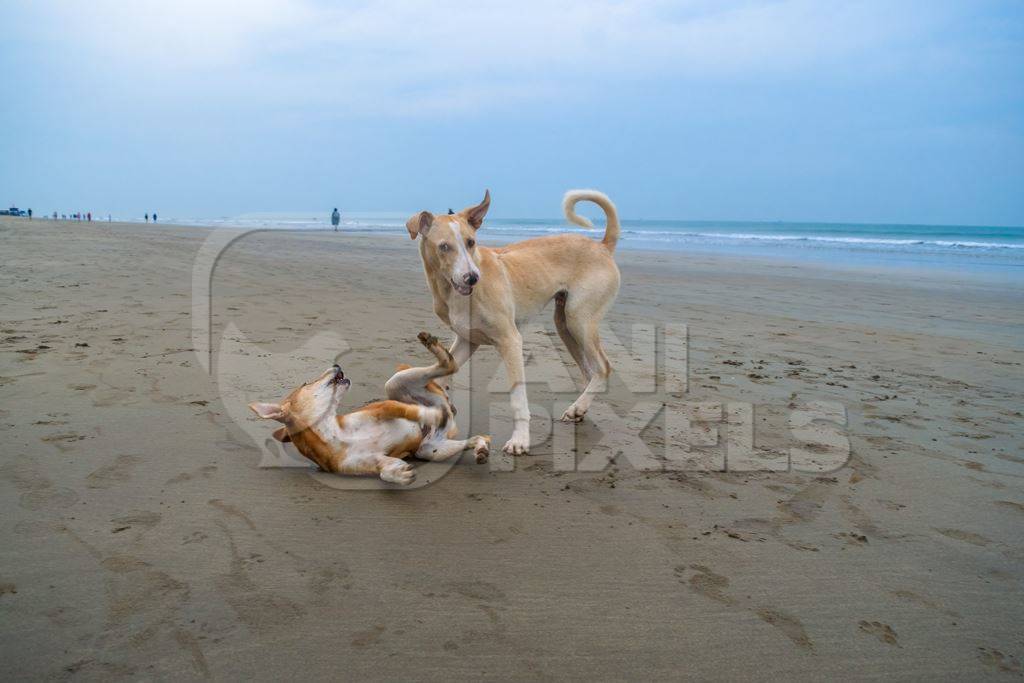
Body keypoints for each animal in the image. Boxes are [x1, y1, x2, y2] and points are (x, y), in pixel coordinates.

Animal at [247, 331, 487, 485]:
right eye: (306, 383)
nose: (336, 364)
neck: (335, 435)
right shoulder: (376, 460)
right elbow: (384, 472)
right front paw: (399, 474)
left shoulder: (383, 407)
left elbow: (402, 410)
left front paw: (429, 414)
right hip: (430, 450)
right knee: (474, 436)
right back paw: (480, 447)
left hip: (396, 383)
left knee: (448, 367)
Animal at [403, 189, 618, 454]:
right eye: (444, 246)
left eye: (471, 242)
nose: (472, 278)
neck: (453, 293)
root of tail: (603, 246)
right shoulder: (466, 341)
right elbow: (440, 377)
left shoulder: (510, 341)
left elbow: (517, 399)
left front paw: (520, 440)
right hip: (564, 324)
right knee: (590, 372)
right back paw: (579, 409)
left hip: (578, 318)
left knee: (603, 367)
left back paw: (579, 406)